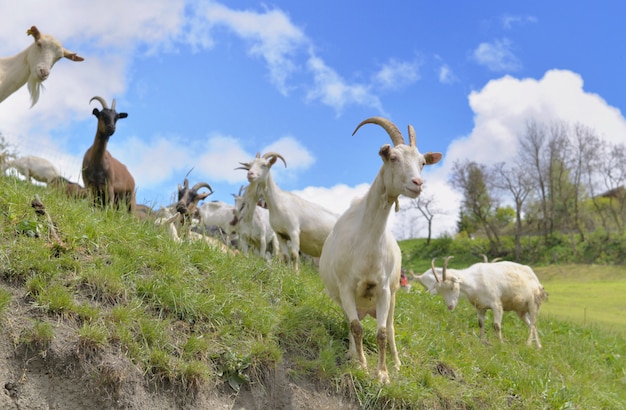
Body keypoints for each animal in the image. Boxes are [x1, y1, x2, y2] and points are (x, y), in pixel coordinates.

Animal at [320, 116, 442, 384]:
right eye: (393, 157)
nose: (417, 184)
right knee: (351, 323)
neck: (366, 243)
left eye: (422, 163)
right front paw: (361, 366)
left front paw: (383, 374)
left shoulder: (384, 289)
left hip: (393, 296)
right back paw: (352, 354)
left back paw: (396, 363)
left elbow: (383, 332)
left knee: (392, 327)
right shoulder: (346, 287)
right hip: (343, 298)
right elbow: (356, 327)